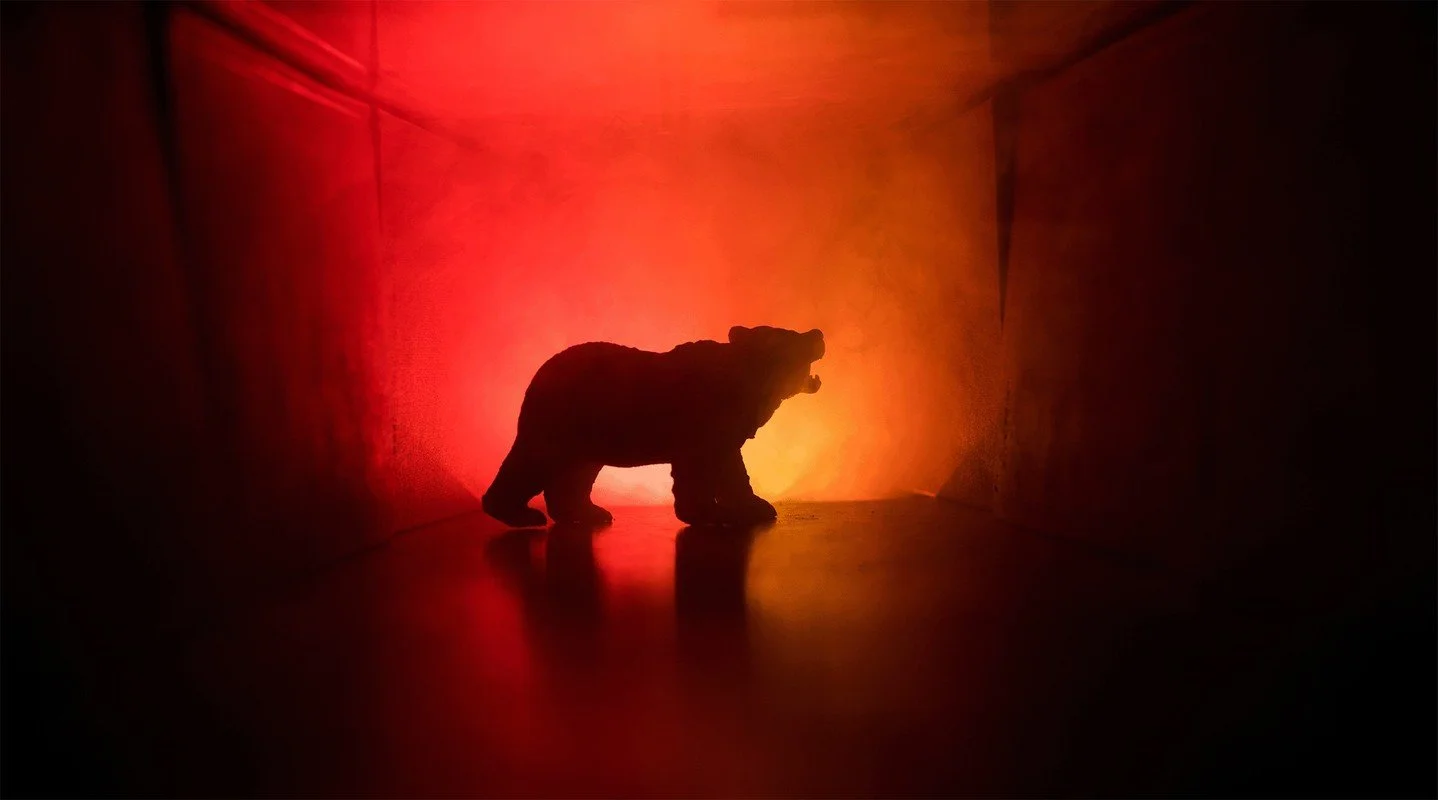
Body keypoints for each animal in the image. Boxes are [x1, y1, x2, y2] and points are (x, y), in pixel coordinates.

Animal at [481, 325, 824, 528]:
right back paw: (516, 513)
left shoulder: (727, 430)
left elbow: (732, 469)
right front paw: (707, 513)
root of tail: (538, 373)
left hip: (589, 433)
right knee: (534, 458)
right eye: (791, 336)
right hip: (561, 415)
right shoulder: (699, 418)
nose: (817, 333)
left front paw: (757, 507)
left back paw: (586, 513)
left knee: (576, 472)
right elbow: (696, 468)